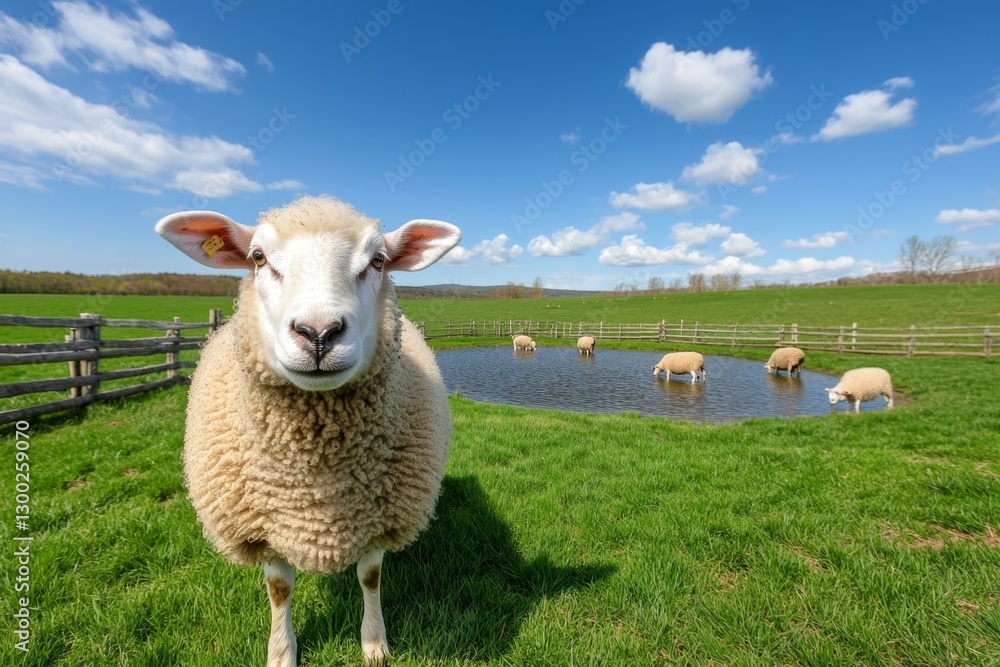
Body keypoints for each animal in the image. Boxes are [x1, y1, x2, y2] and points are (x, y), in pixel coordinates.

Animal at [155, 195, 460, 667]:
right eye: (258, 258)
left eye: (378, 260)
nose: (318, 333)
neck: (317, 488)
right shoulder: (262, 527)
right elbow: (280, 589)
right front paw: (281, 653)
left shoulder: (378, 517)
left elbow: (370, 577)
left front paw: (374, 643)